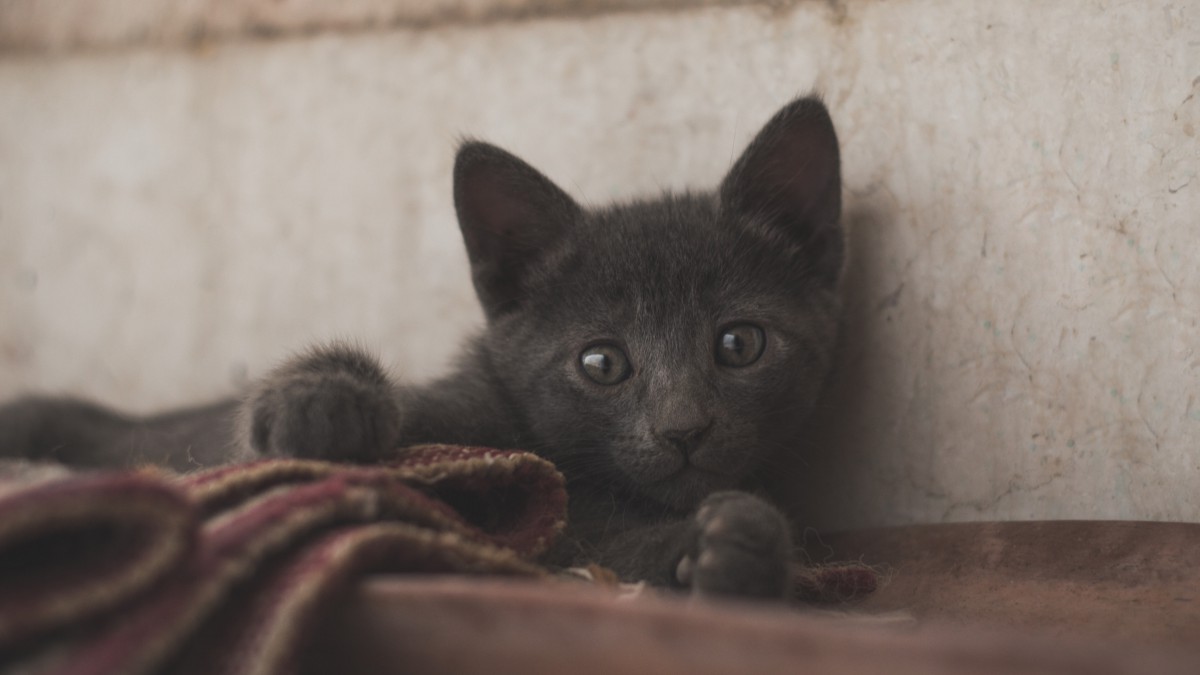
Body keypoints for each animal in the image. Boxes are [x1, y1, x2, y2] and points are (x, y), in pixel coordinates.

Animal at [0, 97, 844, 595]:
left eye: (739, 343)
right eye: (601, 362)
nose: (682, 427)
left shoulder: (586, 531)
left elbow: (601, 540)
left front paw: (733, 546)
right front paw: (321, 403)